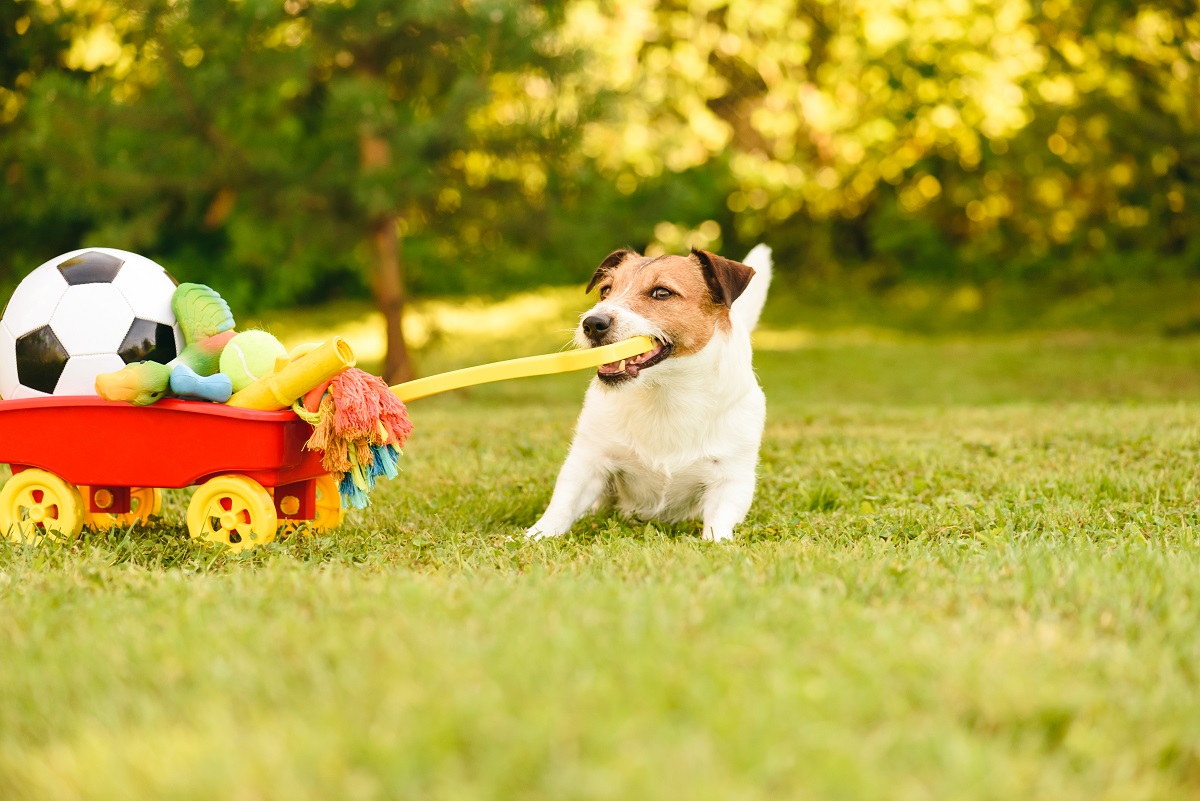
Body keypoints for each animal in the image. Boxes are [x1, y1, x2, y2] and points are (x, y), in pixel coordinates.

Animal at [530, 244, 772, 541]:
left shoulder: (731, 478)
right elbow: (562, 505)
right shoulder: (588, 460)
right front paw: (533, 536)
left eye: (662, 293)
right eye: (605, 290)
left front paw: (715, 544)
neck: (665, 393)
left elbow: (718, 524)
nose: (592, 323)